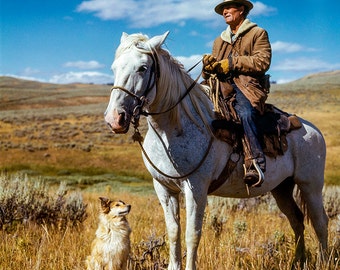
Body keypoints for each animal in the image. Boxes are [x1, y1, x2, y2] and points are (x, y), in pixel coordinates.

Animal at [103, 32, 326, 270]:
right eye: (114, 67)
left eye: (143, 68)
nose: (115, 118)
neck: (174, 127)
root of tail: (312, 130)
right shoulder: (163, 188)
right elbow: (173, 232)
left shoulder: (196, 188)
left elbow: (192, 234)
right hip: (282, 188)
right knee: (297, 220)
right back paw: (298, 261)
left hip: (310, 184)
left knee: (320, 222)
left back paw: (324, 260)